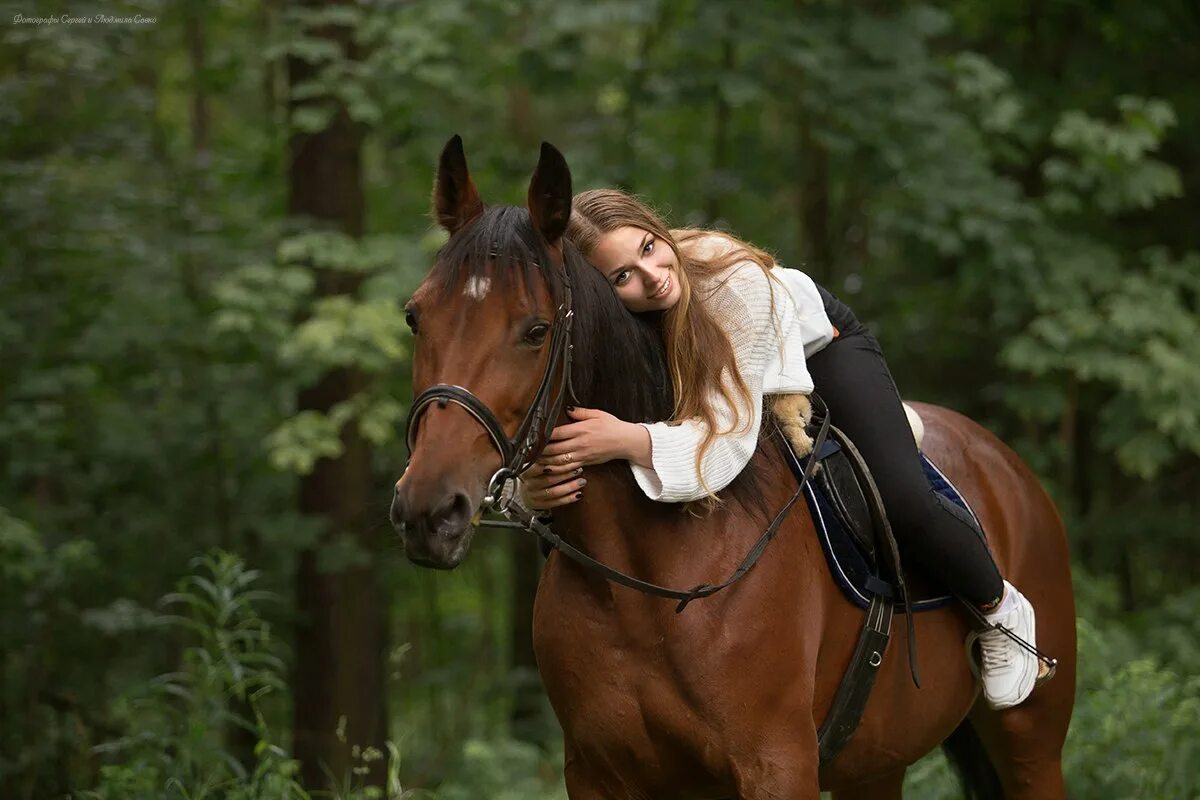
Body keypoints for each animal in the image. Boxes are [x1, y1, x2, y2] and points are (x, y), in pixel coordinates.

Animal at [393, 139, 1080, 800]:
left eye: (536, 330)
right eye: (415, 316)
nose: (430, 512)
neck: (646, 584)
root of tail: (1006, 467)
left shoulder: (776, 765)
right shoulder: (597, 773)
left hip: (1032, 748)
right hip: (875, 763)